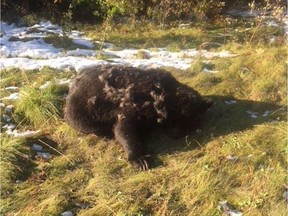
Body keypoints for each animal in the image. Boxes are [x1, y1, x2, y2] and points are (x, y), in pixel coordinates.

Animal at [64, 65, 212, 170]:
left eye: (193, 122)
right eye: (181, 117)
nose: (177, 134)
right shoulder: (131, 107)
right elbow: (124, 130)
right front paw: (140, 159)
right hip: (79, 111)